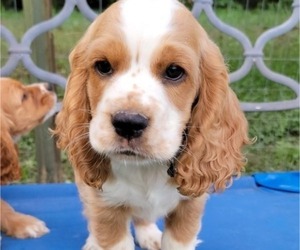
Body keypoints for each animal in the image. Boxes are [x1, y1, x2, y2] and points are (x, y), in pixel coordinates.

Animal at [54, 0, 251, 249]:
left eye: (174, 71)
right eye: (103, 66)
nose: (128, 123)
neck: (145, 168)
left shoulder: (189, 209)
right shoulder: (105, 206)